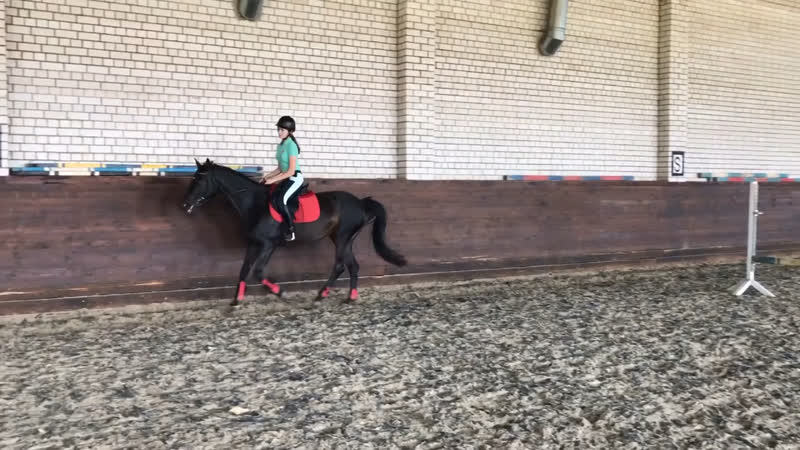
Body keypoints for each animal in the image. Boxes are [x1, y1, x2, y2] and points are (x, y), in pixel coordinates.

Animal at [181, 159, 407, 306]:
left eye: (199, 180)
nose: (185, 204)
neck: (255, 203)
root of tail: (360, 203)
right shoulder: (254, 243)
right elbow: (244, 270)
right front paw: (236, 301)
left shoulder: (268, 244)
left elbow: (258, 271)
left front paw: (280, 293)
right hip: (343, 238)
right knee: (352, 265)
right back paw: (348, 297)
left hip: (342, 237)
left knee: (340, 265)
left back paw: (322, 296)